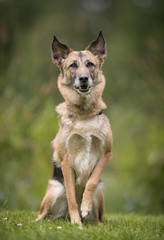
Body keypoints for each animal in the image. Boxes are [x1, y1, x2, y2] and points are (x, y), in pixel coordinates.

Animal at [35, 31, 113, 225]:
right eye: (73, 65)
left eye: (90, 64)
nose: (83, 78)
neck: (84, 115)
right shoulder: (66, 162)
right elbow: (71, 196)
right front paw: (76, 222)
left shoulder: (106, 153)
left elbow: (91, 181)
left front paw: (84, 207)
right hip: (54, 190)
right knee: (42, 215)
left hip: (100, 193)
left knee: (98, 218)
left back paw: (92, 220)